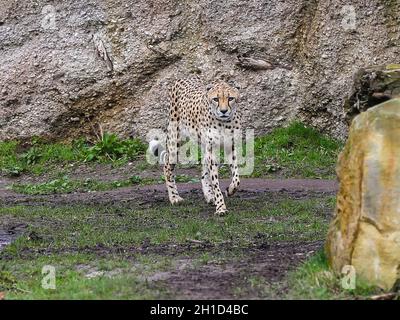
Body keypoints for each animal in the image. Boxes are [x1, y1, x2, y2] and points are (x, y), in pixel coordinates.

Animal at [152, 78, 241, 215]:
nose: (224, 111)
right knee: (167, 167)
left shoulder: (230, 147)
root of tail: (182, 78)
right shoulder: (212, 151)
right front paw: (221, 207)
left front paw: (230, 190)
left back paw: (209, 196)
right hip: (175, 143)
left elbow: (236, 178)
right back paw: (174, 197)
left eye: (230, 98)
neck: (223, 123)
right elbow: (215, 182)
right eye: (216, 99)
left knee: (203, 169)